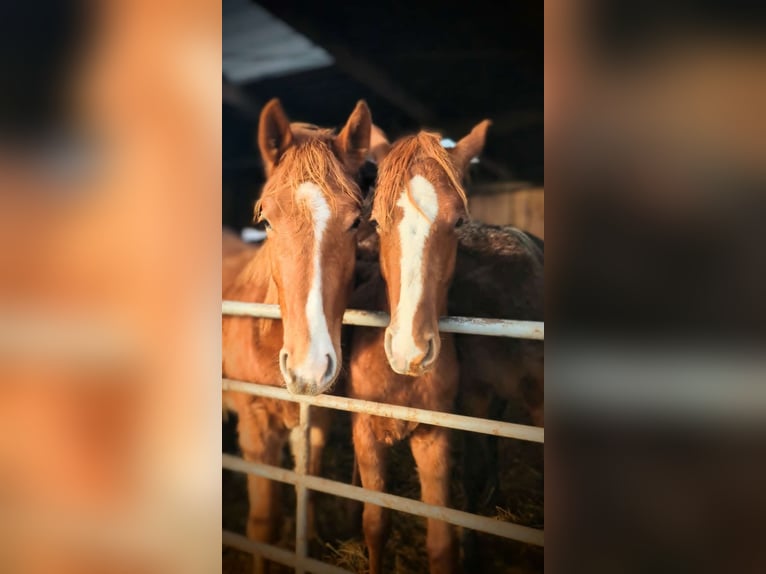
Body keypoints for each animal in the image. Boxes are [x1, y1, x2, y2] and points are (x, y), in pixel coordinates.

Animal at [222, 97, 372, 572]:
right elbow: (264, 522)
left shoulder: (315, 422)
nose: (309, 366)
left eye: (356, 220)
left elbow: (310, 496)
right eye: (265, 219)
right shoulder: (255, 425)